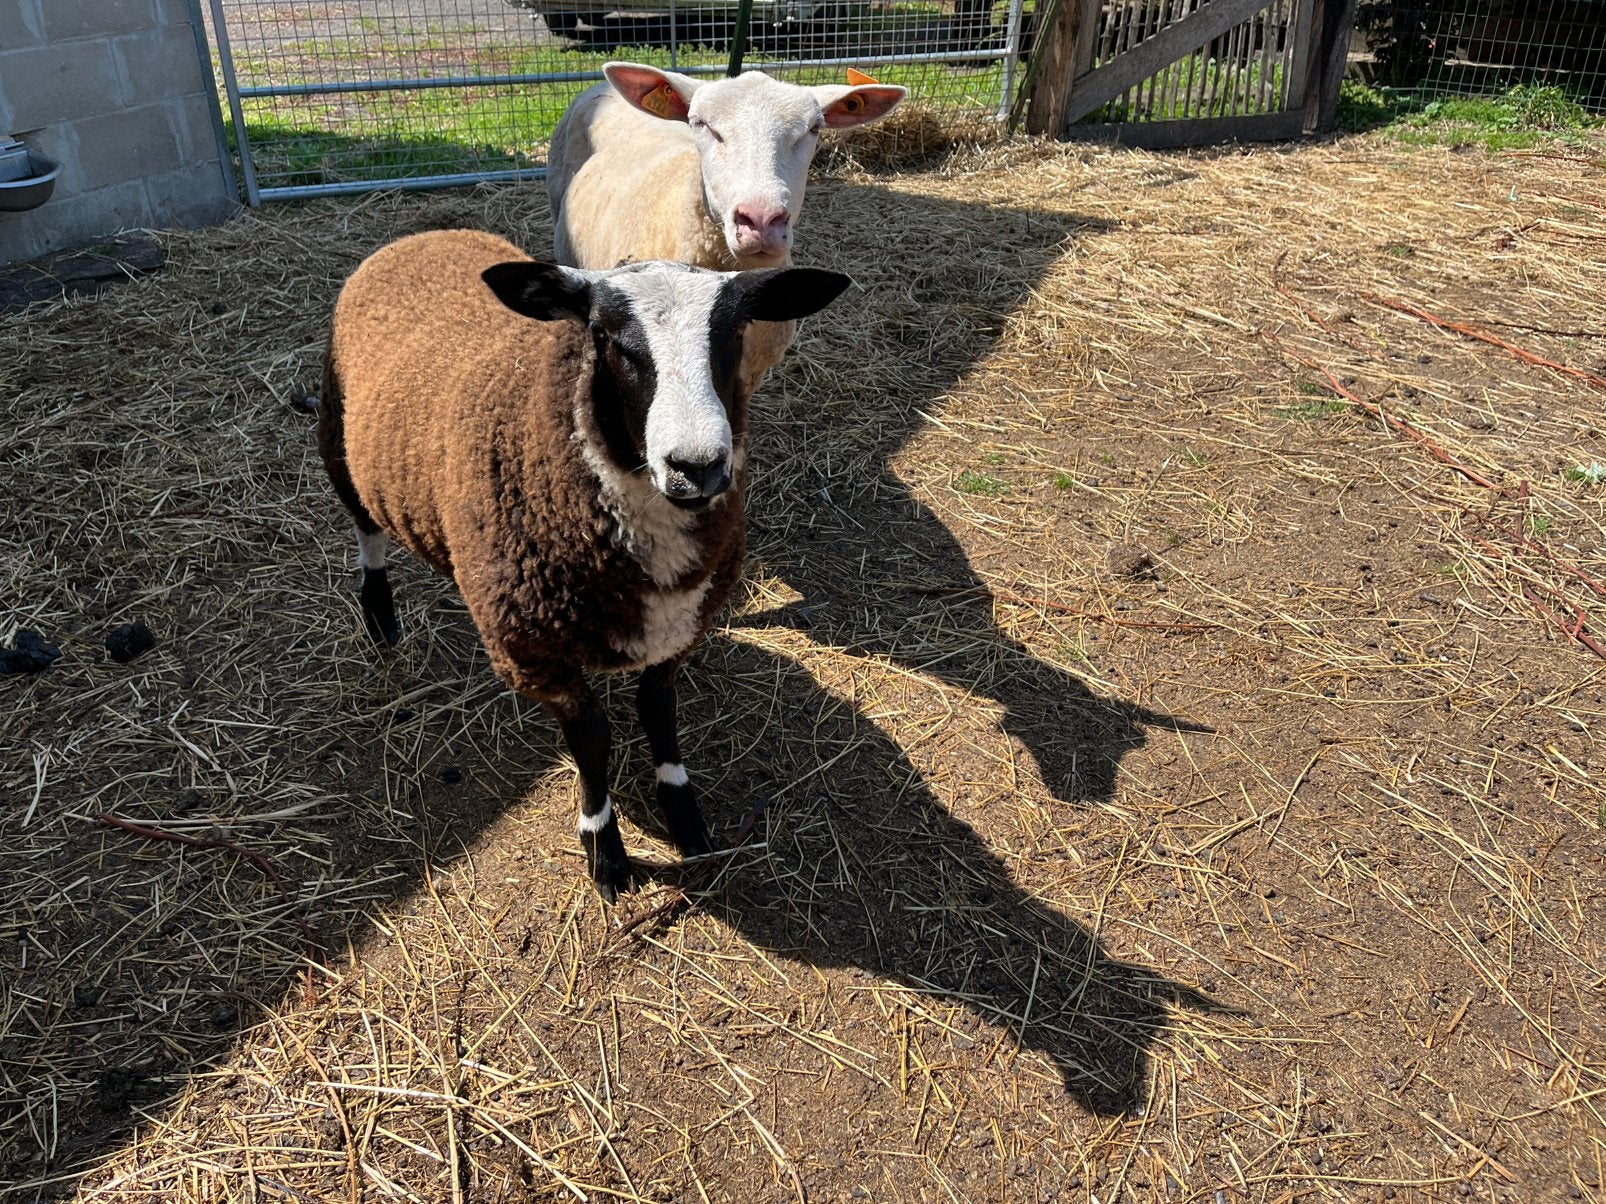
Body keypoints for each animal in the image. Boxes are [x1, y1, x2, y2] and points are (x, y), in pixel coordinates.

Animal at [318, 228, 850, 901]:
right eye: (607, 337)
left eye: (734, 333)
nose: (697, 467)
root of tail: (422, 234)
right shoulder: (535, 653)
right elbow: (593, 741)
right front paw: (605, 850)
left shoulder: (683, 630)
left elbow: (658, 710)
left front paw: (685, 817)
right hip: (336, 435)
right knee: (366, 530)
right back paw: (380, 617)